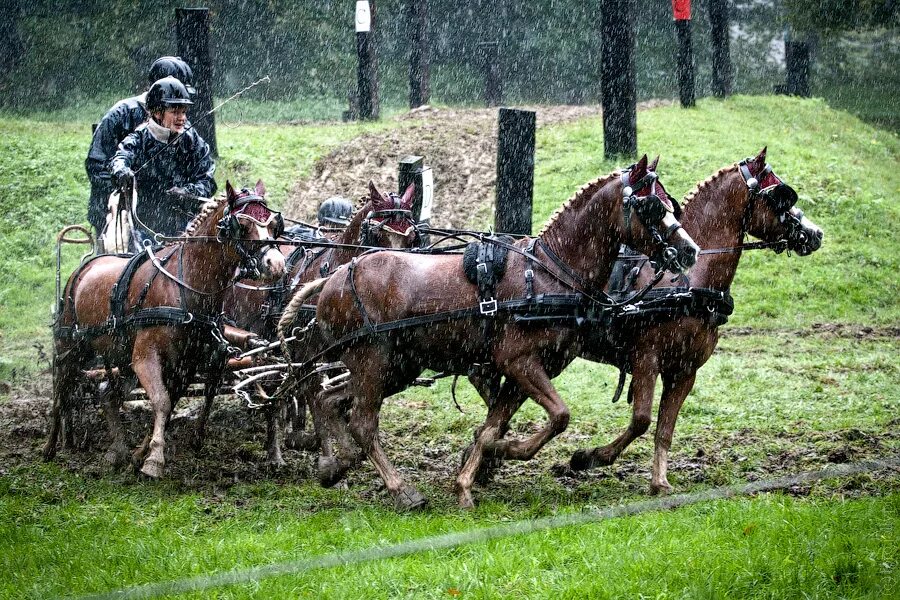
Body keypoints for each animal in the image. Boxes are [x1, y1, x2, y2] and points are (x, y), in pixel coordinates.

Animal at [44, 179, 286, 478]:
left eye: (274, 224)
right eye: (242, 225)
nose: (276, 264)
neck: (184, 284)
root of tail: (86, 266)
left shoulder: (185, 365)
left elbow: (169, 404)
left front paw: (140, 455)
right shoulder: (146, 358)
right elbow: (161, 401)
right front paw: (154, 460)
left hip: (121, 358)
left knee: (108, 395)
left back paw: (118, 451)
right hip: (72, 347)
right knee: (62, 391)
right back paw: (52, 445)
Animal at [198, 180, 422, 466]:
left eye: (411, 237)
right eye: (377, 234)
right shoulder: (306, 352)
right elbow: (314, 395)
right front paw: (321, 453)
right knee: (226, 378)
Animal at [292, 154, 700, 506]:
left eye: (671, 203)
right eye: (651, 206)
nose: (689, 250)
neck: (550, 273)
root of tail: (333, 278)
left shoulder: (529, 371)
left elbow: (493, 426)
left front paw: (467, 480)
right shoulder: (518, 361)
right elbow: (559, 416)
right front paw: (505, 452)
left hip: (397, 366)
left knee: (329, 399)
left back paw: (336, 464)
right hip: (372, 360)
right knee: (361, 421)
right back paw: (400, 489)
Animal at [564, 145, 824, 492]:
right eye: (782, 195)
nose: (815, 233)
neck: (688, 283)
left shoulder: (685, 372)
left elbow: (665, 429)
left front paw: (659, 482)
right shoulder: (647, 360)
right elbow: (641, 420)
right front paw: (590, 457)